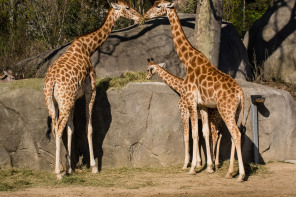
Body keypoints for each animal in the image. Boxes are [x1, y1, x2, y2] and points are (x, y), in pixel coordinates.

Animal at [42, 0, 142, 180]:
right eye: (127, 7)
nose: (139, 17)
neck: (88, 48)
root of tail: (51, 82)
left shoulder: (74, 98)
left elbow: (71, 129)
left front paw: (70, 167)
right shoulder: (90, 90)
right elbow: (89, 127)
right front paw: (94, 167)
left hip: (54, 102)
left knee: (55, 127)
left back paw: (60, 168)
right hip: (64, 102)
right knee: (58, 128)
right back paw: (58, 173)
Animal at [145, 0, 246, 182]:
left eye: (158, 6)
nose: (146, 15)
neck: (188, 61)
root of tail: (241, 93)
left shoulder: (190, 103)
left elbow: (192, 135)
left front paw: (192, 167)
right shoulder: (203, 105)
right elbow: (203, 133)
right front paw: (208, 167)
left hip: (225, 110)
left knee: (234, 134)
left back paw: (240, 175)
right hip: (235, 112)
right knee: (233, 134)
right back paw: (229, 172)